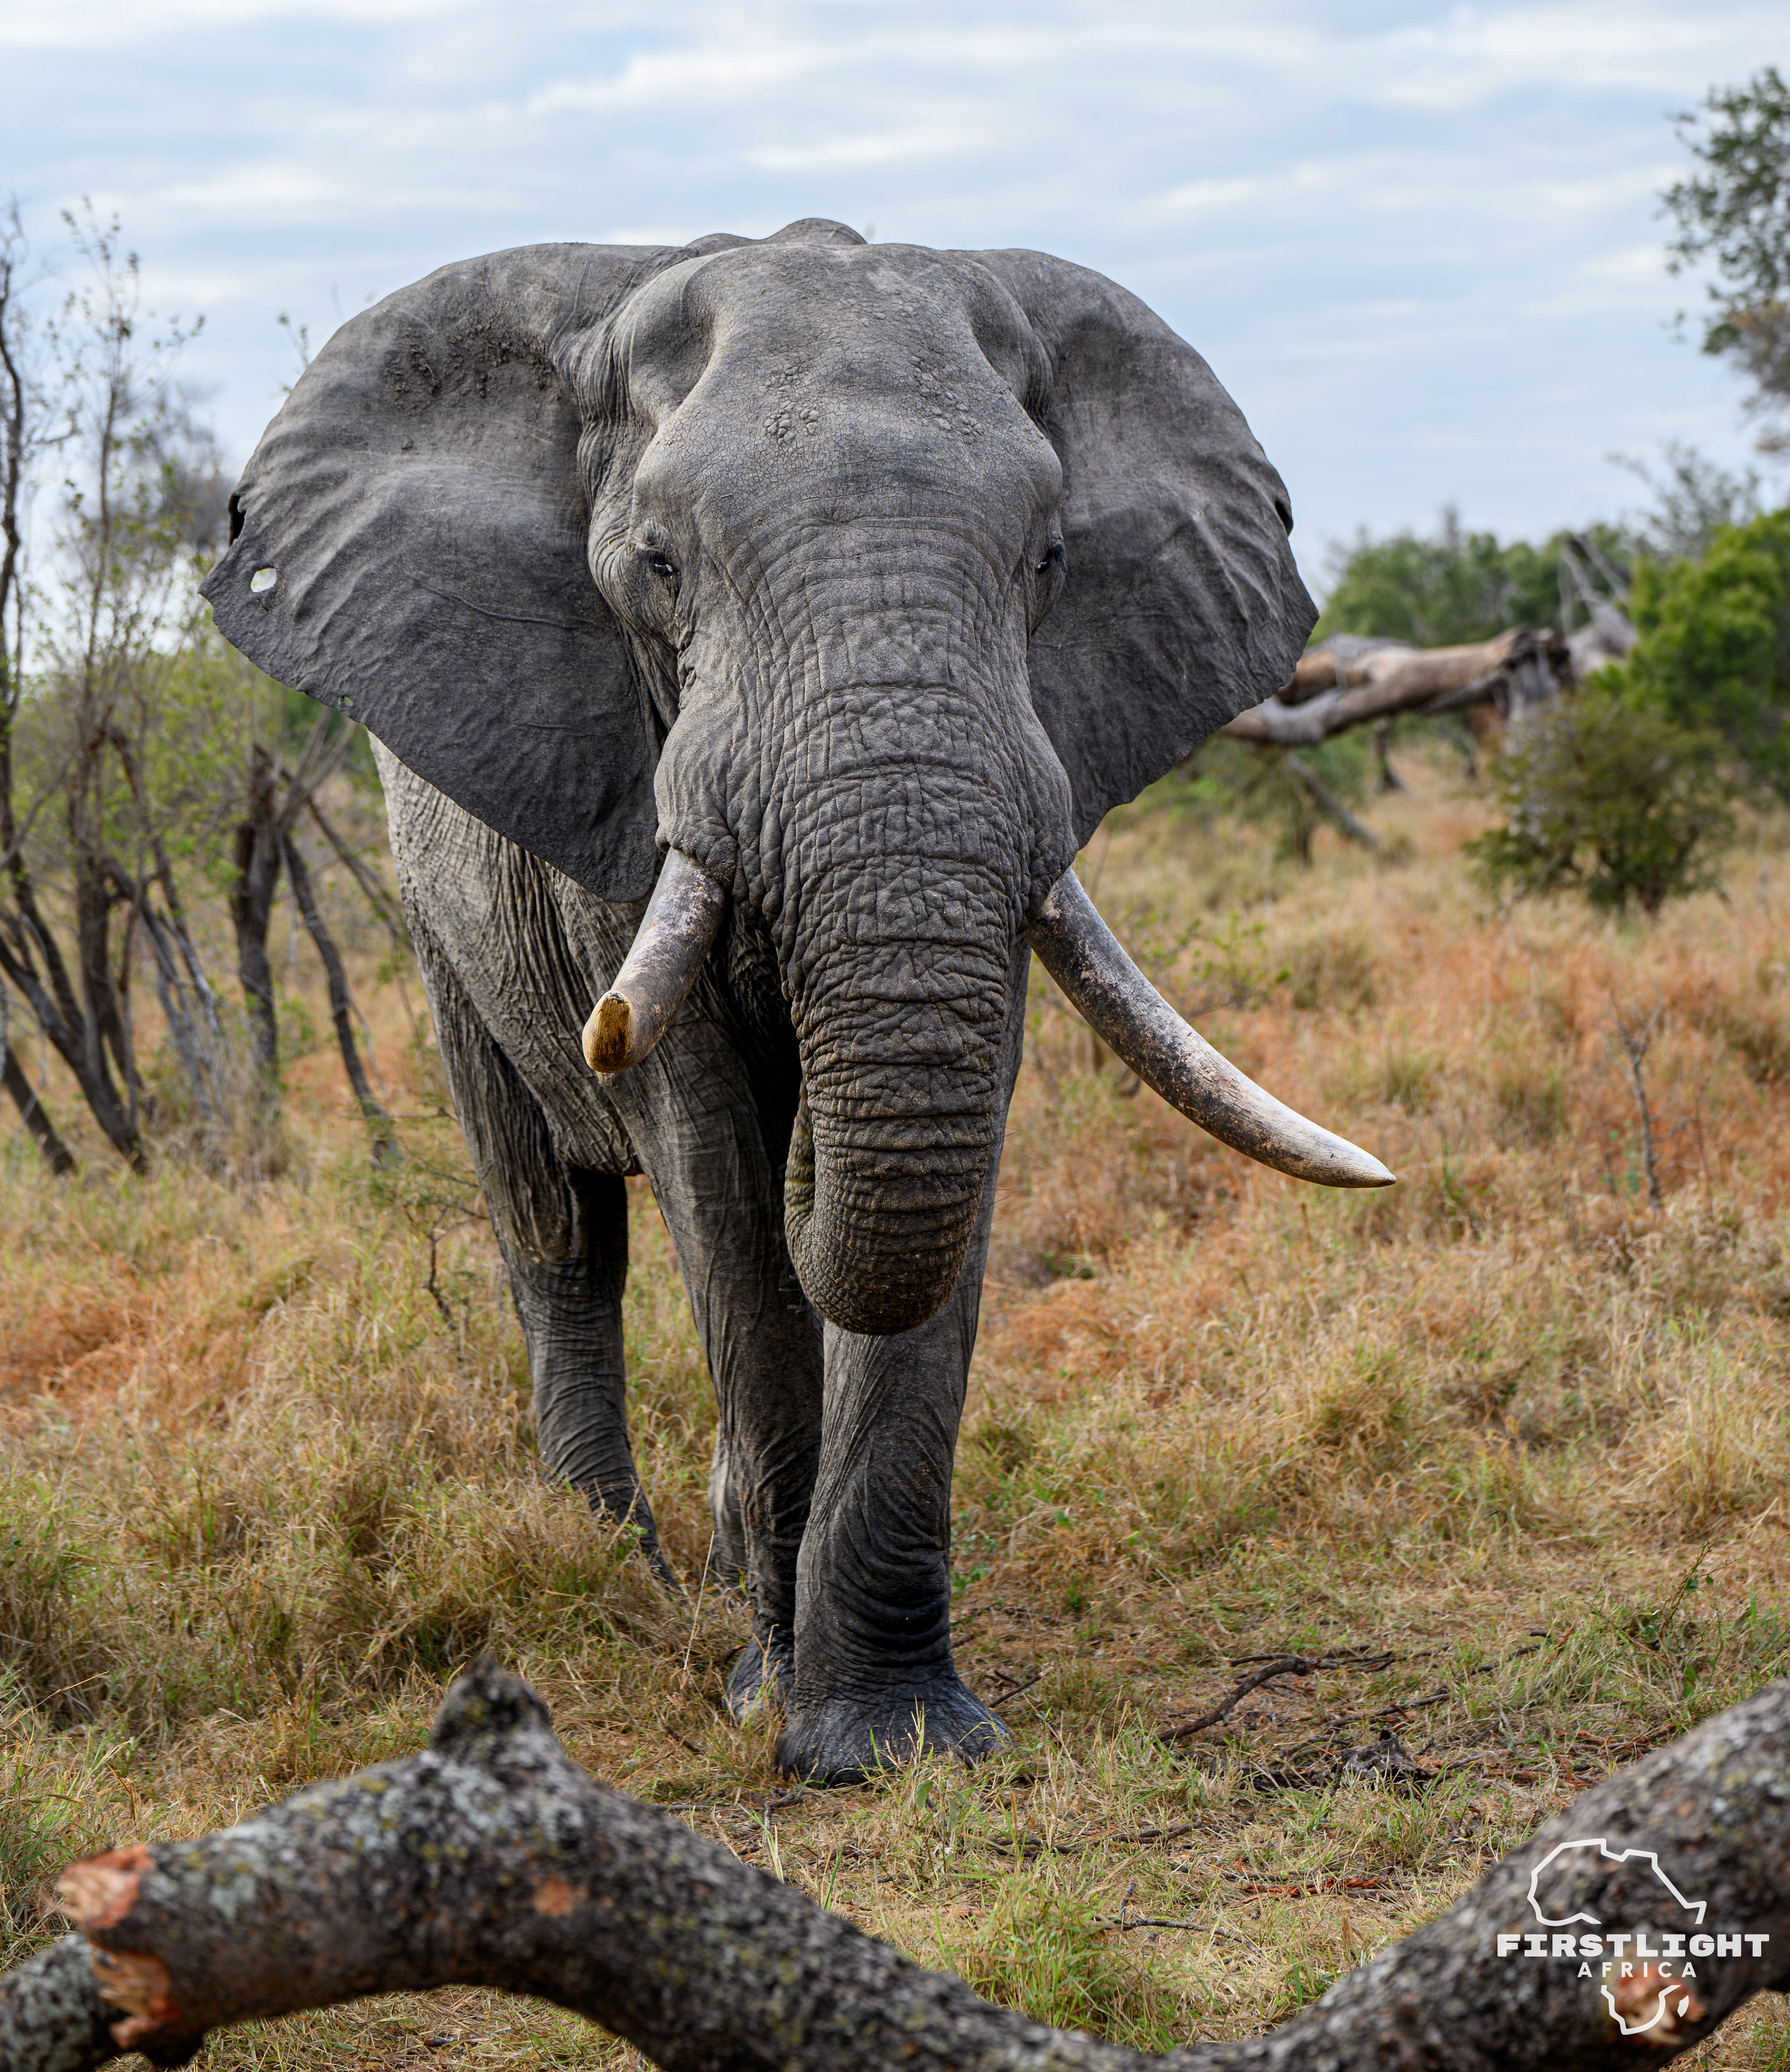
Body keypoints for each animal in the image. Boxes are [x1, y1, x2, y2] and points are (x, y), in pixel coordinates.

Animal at [202, 217, 1391, 1783]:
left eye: (1050, 558)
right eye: (656, 566)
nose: (818, 1133)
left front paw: (894, 1738)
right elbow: (712, 1171)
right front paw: (774, 1701)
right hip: (431, 907)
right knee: (556, 1229)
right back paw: (626, 1579)